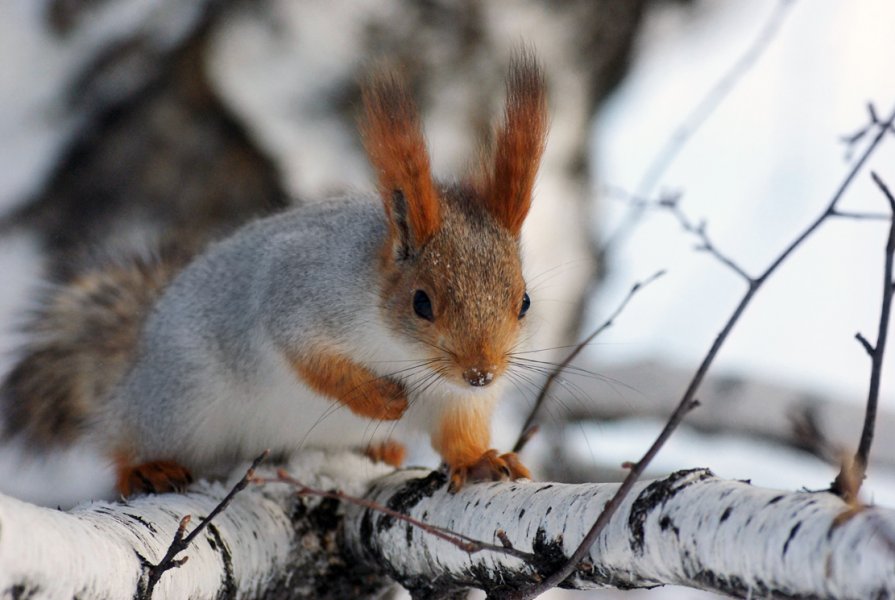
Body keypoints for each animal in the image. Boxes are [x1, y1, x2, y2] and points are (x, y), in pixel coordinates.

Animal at [0, 52, 548, 496]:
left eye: (523, 302)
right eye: (421, 302)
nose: (481, 373)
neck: (401, 350)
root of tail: (138, 355)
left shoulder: (458, 402)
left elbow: (459, 434)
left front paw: (480, 460)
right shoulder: (298, 290)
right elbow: (305, 354)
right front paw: (380, 399)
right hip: (178, 400)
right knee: (123, 438)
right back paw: (144, 468)